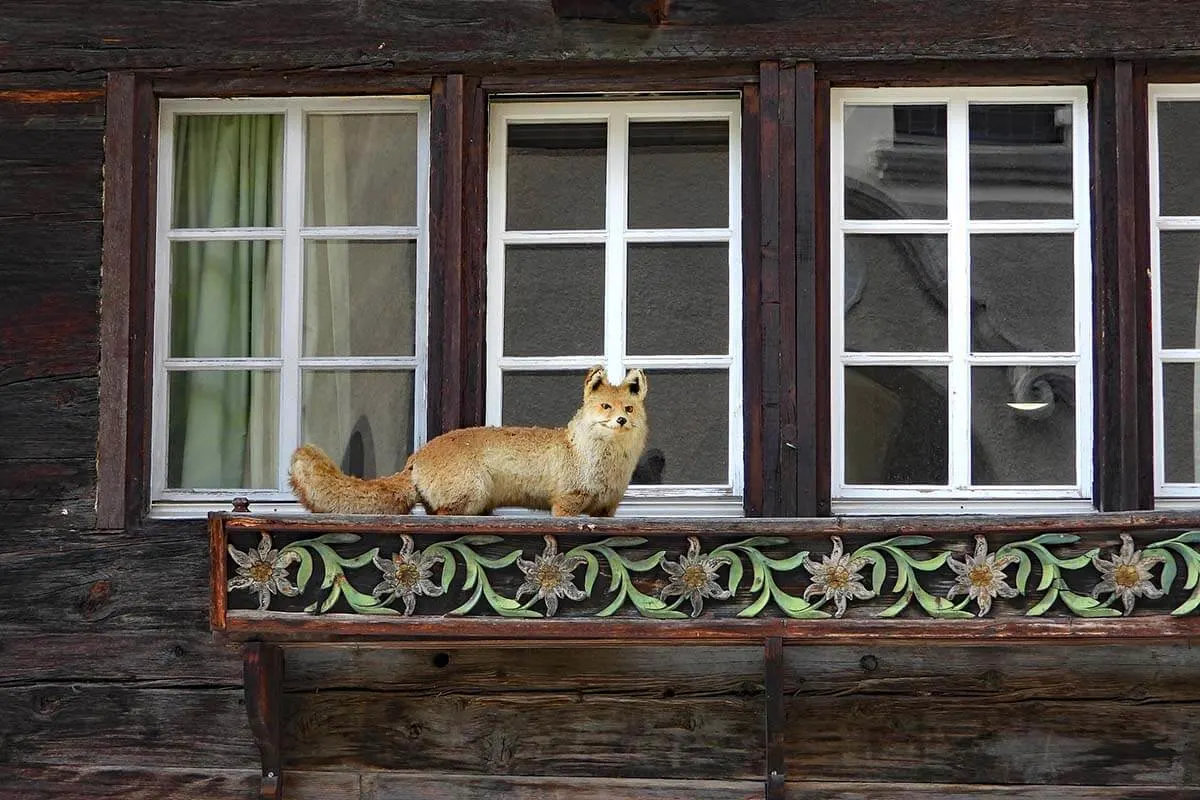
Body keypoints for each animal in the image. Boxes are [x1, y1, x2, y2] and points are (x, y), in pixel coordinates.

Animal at [288, 367, 648, 515]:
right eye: (606, 407)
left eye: (628, 408)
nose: (621, 421)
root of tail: (417, 456)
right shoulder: (566, 504)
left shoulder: (605, 510)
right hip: (469, 497)